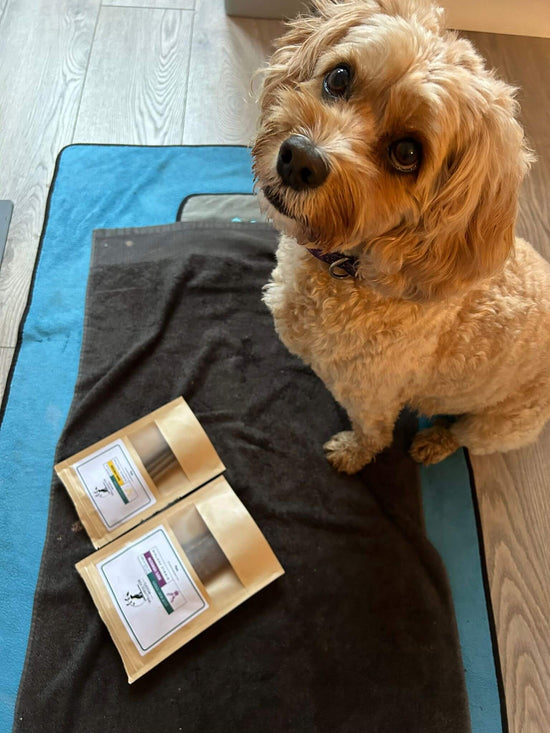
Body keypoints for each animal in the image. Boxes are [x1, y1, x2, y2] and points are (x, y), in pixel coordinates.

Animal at [253, 0, 550, 468]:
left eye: (407, 153)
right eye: (339, 77)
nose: (299, 160)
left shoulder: (371, 395)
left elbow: (373, 434)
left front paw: (351, 454)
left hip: (506, 422)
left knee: (467, 435)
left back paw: (434, 442)